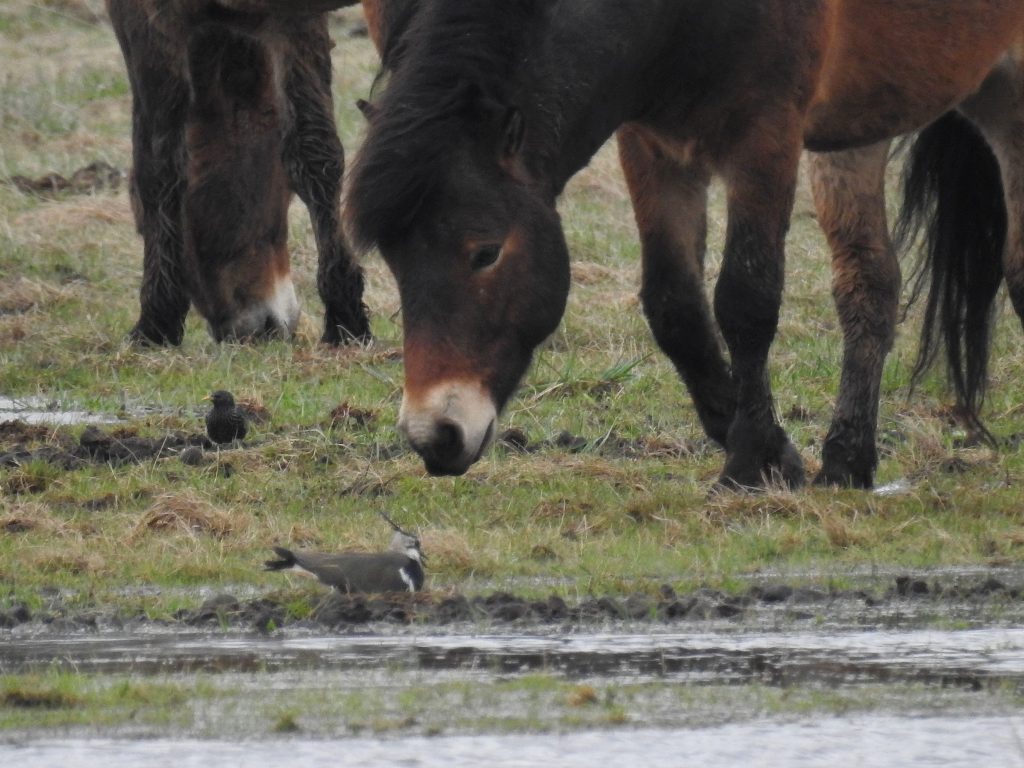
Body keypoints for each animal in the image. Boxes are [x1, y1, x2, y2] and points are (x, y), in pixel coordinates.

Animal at [109, 0, 372, 342]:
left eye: (140, 225)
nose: (255, 330)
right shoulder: (296, 20)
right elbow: (316, 149)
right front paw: (346, 319)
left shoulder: (147, 17)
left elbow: (156, 164)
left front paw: (155, 324)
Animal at [342, 0, 1024, 489]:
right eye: (393, 262)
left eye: (485, 252)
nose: (435, 435)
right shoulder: (653, 145)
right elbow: (676, 307)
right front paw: (775, 453)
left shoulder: (764, 139)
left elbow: (746, 302)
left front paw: (747, 464)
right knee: (871, 282)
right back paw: (847, 461)